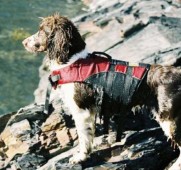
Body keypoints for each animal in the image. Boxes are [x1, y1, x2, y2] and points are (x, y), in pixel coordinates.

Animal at [23, 13, 181, 169]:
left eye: (42, 31)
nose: (24, 42)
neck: (72, 61)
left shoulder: (81, 110)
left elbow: (83, 137)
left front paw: (80, 157)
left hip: (168, 118)